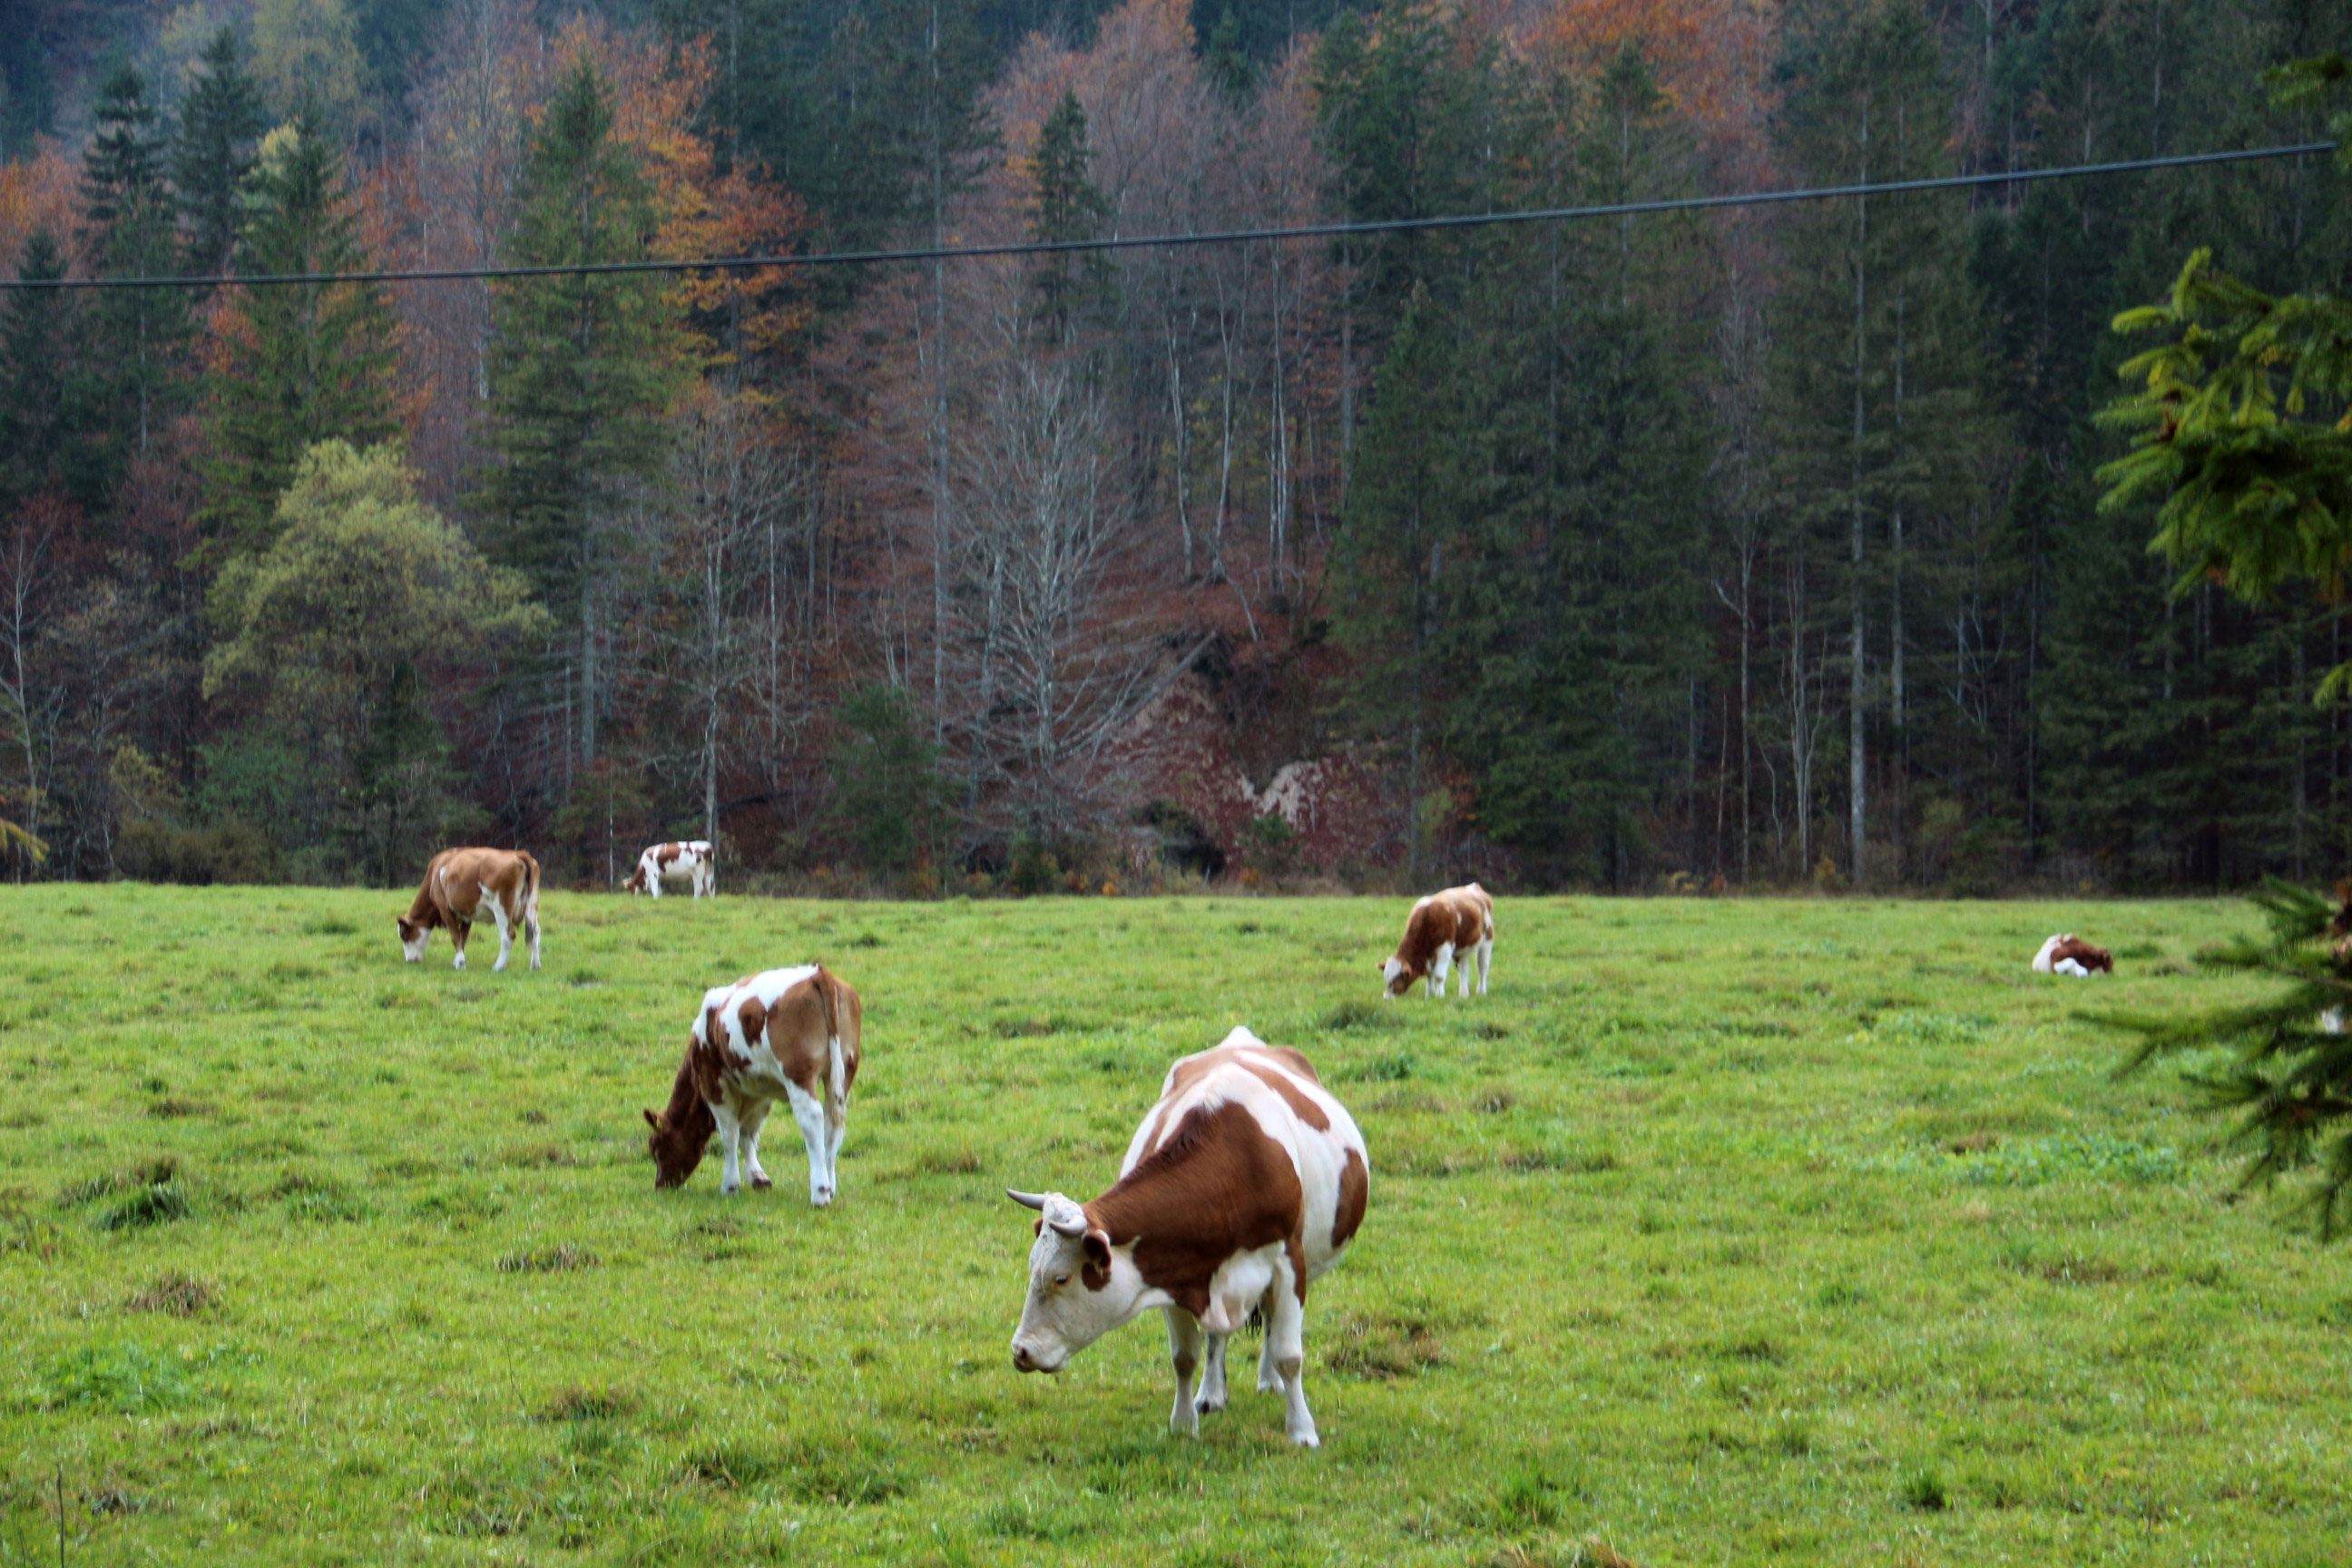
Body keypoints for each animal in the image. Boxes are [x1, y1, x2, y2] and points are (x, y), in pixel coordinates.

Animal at [395, 846, 541, 968]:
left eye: (404, 935)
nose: (409, 960)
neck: (436, 873)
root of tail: (518, 854)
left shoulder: (445, 909)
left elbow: (455, 936)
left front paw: (460, 963)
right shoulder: (468, 913)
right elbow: (463, 937)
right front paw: (459, 960)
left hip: (502, 907)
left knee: (508, 935)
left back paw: (498, 967)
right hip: (532, 905)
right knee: (535, 931)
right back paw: (535, 965)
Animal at [644, 964, 865, 1212]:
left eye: (655, 1147)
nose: (660, 1185)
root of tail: (819, 974)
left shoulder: (714, 1084)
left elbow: (730, 1134)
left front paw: (730, 1186)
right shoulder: (759, 1090)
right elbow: (748, 1133)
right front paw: (758, 1178)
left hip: (798, 1072)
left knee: (813, 1120)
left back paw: (820, 1192)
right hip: (845, 1069)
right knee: (833, 1124)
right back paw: (831, 1186)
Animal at [1006, 1029, 1373, 1447]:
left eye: (1061, 1278)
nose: (1021, 1350)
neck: (1233, 1171)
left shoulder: (1289, 1264)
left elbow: (1289, 1354)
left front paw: (1302, 1431)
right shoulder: (1173, 1273)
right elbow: (1184, 1356)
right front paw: (1183, 1423)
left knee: (1268, 1321)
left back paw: (1269, 1380)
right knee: (1219, 1336)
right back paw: (1211, 1392)